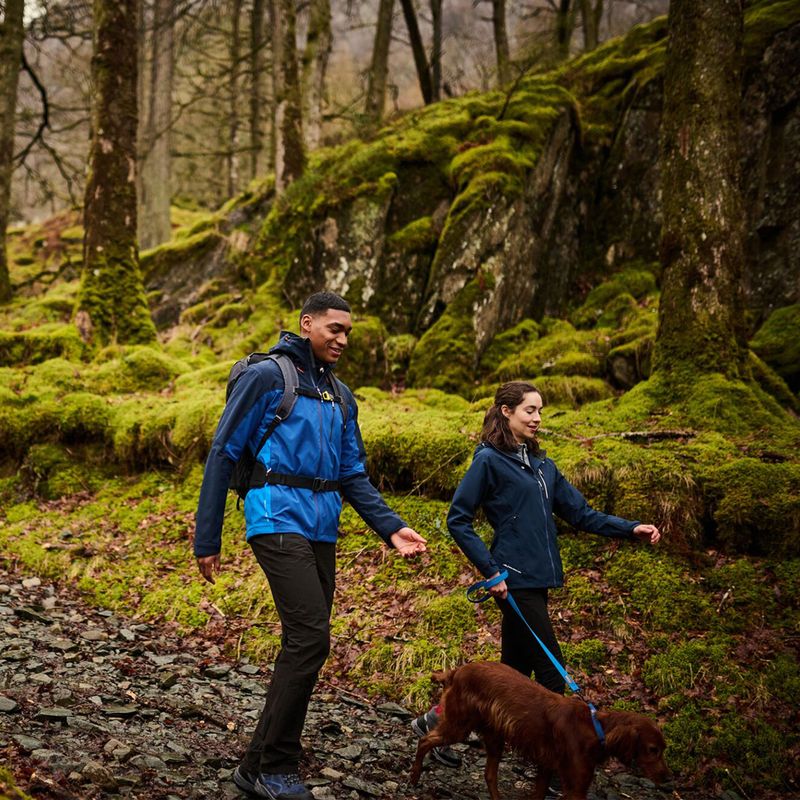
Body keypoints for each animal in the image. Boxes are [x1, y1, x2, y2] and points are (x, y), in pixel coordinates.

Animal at [412, 664, 668, 800]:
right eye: (652, 749)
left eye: (663, 749)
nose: (667, 778)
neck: (595, 728)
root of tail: (458, 669)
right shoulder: (576, 786)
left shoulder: (546, 766)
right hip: (460, 725)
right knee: (425, 740)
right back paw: (414, 777)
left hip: (494, 737)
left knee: (489, 774)